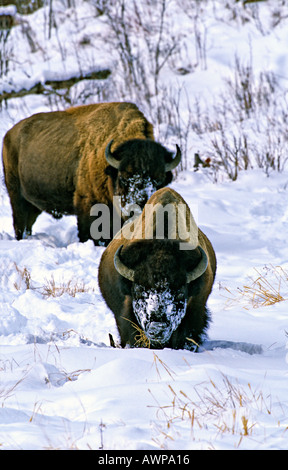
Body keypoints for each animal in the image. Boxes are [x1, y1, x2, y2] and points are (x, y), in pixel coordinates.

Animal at [2, 101, 181, 244]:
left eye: (159, 181)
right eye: (124, 178)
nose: (138, 210)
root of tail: (9, 134)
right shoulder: (88, 205)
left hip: (33, 204)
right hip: (16, 195)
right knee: (19, 222)